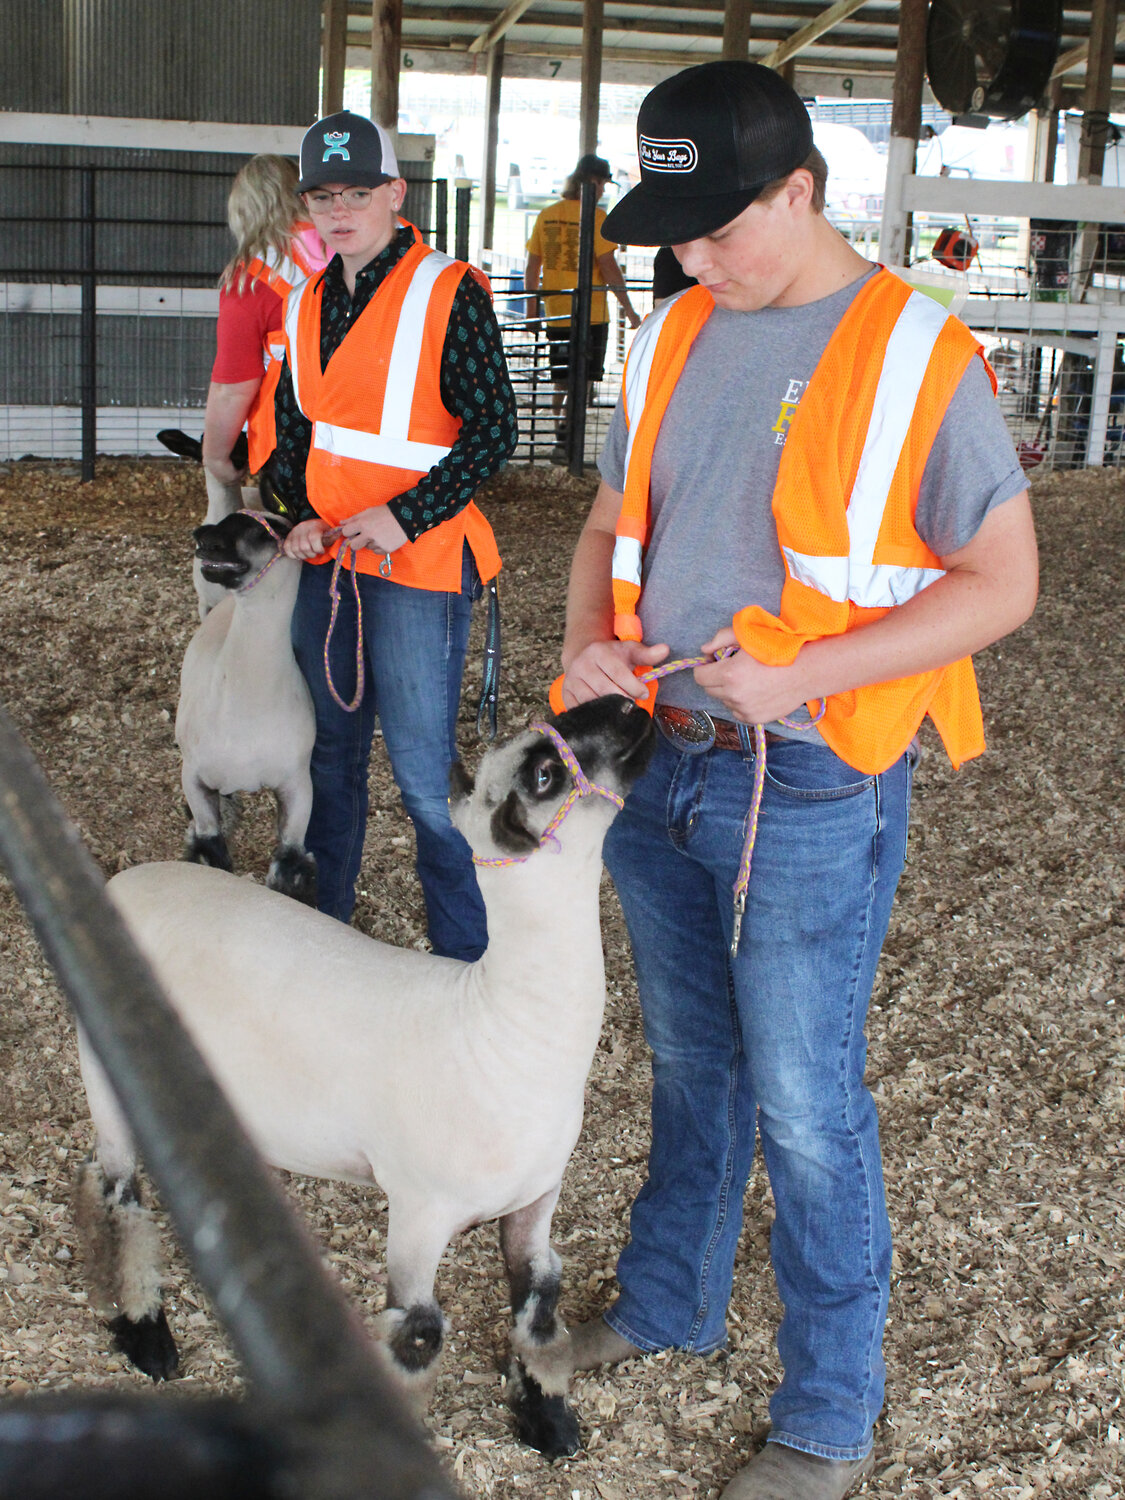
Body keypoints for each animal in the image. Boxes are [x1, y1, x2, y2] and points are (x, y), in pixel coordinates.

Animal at [75, 696, 657, 1458]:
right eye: (543, 773)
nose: (628, 704)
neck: (499, 1028)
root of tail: (122, 879)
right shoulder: (419, 1210)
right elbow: (418, 1333)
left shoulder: (537, 1196)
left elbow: (539, 1300)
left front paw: (550, 1422)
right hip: (104, 1071)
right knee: (117, 1200)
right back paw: (146, 1337)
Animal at [176, 510, 318, 900]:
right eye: (225, 520)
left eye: (264, 531)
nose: (202, 535)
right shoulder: (194, 775)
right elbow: (210, 852)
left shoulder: (298, 784)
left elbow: (289, 869)